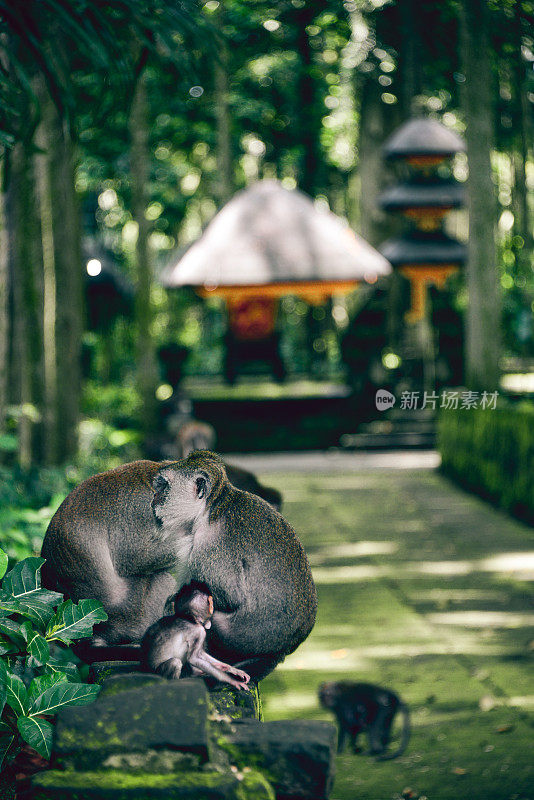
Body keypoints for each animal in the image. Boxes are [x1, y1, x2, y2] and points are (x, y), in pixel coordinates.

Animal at [43, 450, 318, 680]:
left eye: (163, 486)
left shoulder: (202, 540)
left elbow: (226, 595)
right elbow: (133, 560)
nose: (155, 498)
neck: (213, 506)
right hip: (128, 615)